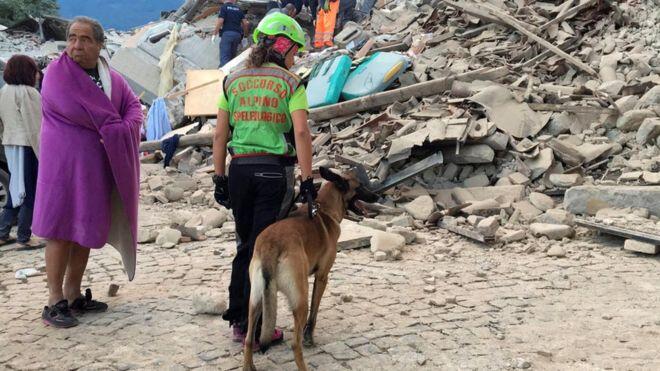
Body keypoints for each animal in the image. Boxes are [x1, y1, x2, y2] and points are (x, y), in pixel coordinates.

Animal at [242, 168, 376, 371]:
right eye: (359, 186)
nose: (377, 195)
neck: (324, 209)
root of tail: (270, 245)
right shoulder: (322, 277)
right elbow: (314, 312)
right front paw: (309, 338)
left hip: (256, 300)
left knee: (249, 339)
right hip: (300, 299)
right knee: (294, 343)